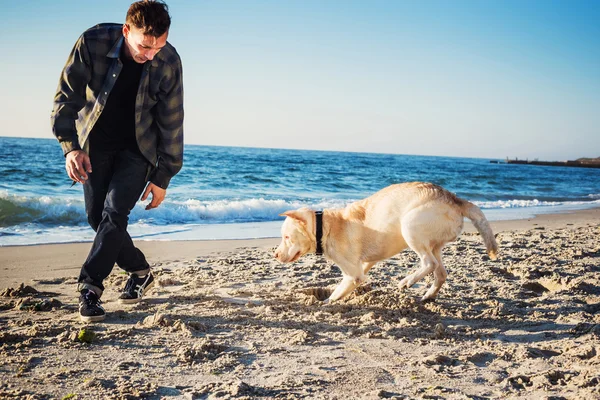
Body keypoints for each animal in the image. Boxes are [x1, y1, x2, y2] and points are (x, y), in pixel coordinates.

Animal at [274, 182, 500, 304]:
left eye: (286, 237)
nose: (275, 255)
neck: (326, 226)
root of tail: (455, 199)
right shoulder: (364, 264)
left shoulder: (353, 274)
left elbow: (339, 290)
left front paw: (326, 303)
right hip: (435, 244)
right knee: (441, 272)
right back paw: (428, 295)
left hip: (410, 226)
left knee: (429, 263)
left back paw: (407, 281)